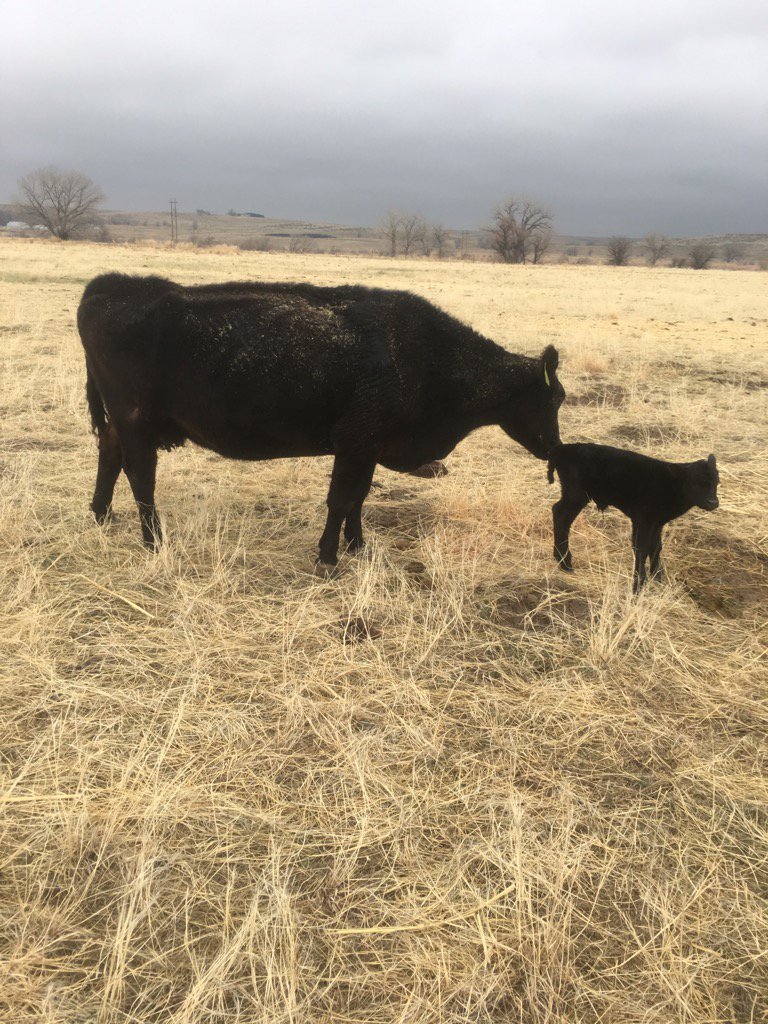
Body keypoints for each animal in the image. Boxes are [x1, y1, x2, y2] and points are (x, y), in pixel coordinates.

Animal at [78, 274, 564, 570]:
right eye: (554, 400)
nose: (556, 450)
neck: (424, 358)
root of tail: (113, 285)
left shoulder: (368, 447)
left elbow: (359, 499)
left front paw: (358, 545)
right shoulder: (356, 441)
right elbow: (341, 499)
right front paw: (328, 558)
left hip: (122, 422)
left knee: (109, 455)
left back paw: (101, 515)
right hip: (136, 420)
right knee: (141, 476)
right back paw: (153, 540)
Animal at [546, 442, 720, 592]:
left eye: (716, 482)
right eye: (696, 482)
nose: (713, 502)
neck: (671, 485)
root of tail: (563, 449)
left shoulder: (656, 523)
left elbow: (655, 548)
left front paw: (658, 580)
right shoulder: (643, 520)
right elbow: (641, 549)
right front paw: (638, 586)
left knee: (559, 514)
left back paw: (561, 560)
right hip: (576, 495)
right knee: (561, 516)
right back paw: (565, 563)